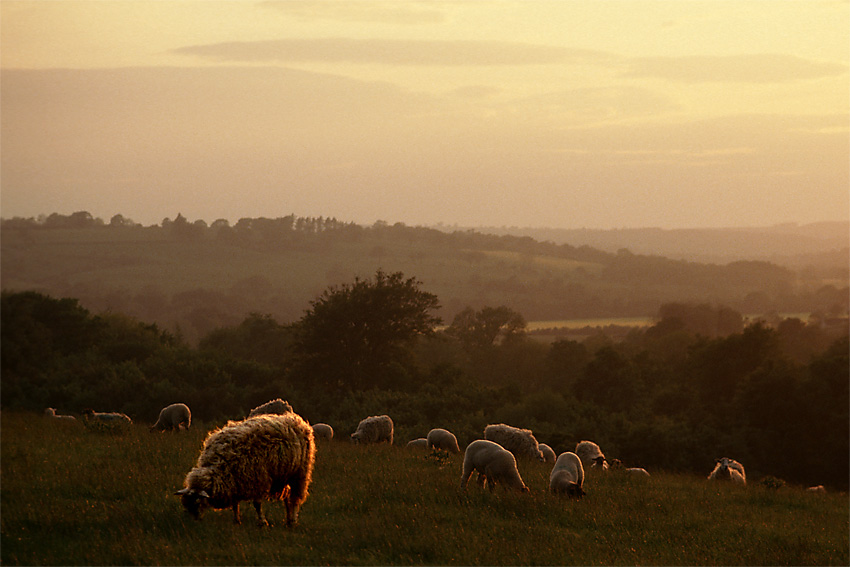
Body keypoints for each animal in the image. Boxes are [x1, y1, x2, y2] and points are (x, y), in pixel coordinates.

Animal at [175, 412, 314, 528]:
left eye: (198, 503)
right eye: (186, 504)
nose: (195, 521)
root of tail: (295, 419)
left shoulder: (258, 480)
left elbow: (257, 504)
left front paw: (262, 522)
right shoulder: (234, 481)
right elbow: (235, 504)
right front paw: (236, 520)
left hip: (299, 473)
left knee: (295, 498)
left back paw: (293, 521)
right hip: (284, 475)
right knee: (287, 498)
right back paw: (288, 519)